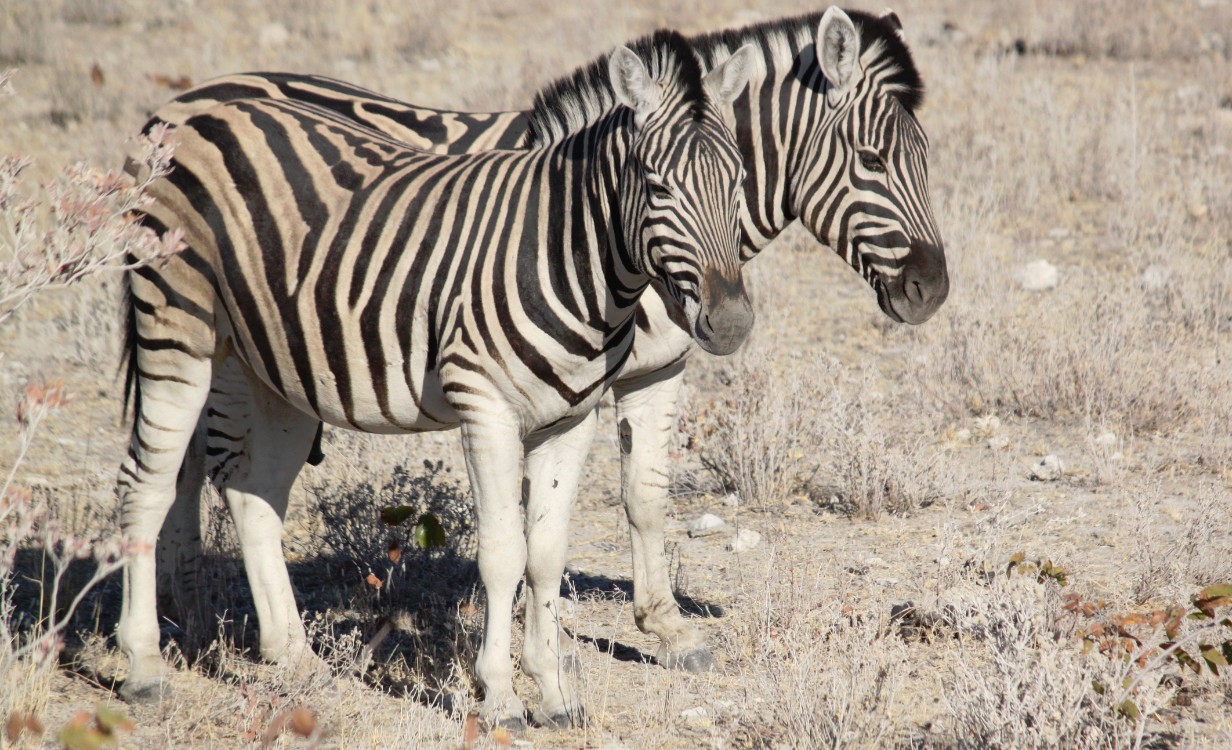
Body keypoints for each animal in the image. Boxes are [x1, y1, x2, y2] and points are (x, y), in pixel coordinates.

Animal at [115, 32, 753, 729]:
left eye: (740, 182)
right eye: (658, 187)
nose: (731, 324)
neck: (568, 255)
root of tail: (188, 111)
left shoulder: (573, 418)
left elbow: (546, 554)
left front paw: (555, 694)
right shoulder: (486, 408)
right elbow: (503, 555)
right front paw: (499, 697)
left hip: (273, 364)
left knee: (253, 494)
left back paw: (297, 662)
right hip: (177, 329)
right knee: (145, 486)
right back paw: (144, 670)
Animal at [146, 4, 951, 679]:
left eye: (928, 157)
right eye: (873, 160)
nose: (933, 290)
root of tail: (183, 101)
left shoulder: (651, 372)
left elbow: (639, 497)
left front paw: (662, 627)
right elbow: (532, 524)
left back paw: (190, 618)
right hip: (228, 348)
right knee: (207, 465)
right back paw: (199, 618)